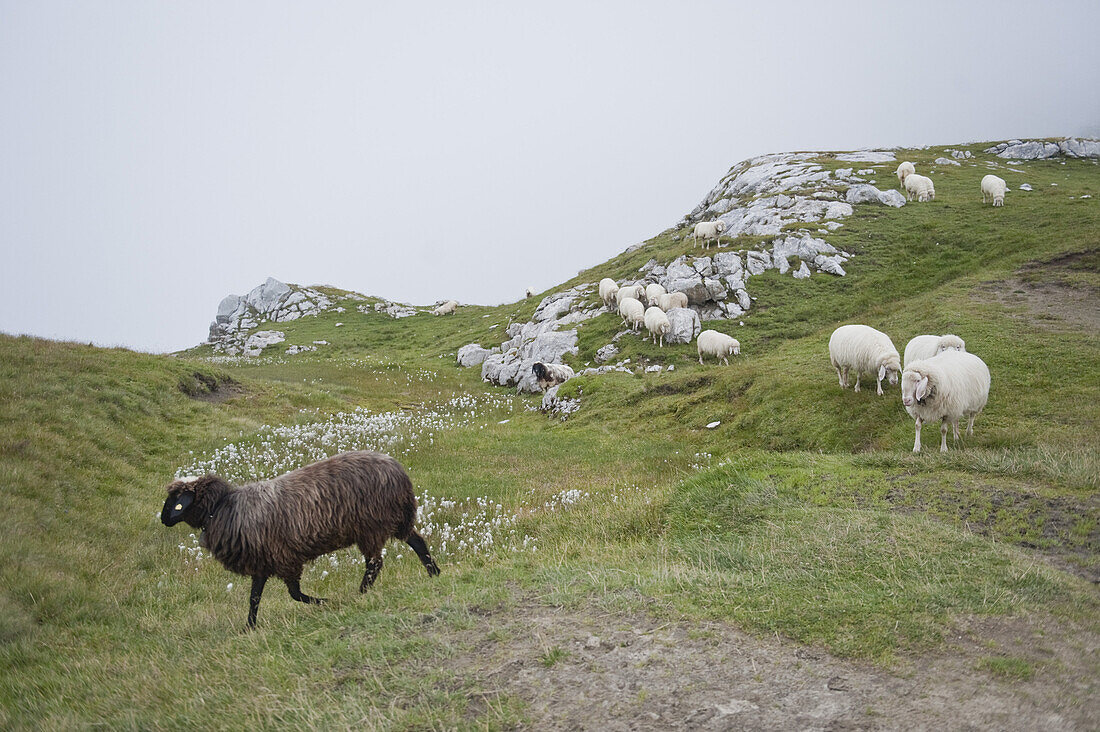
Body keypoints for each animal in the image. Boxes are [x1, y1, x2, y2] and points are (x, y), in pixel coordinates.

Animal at [160, 451, 442, 629]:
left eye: (176, 501)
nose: (163, 519)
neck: (222, 508)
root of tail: (396, 469)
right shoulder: (262, 563)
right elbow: (254, 598)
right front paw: (249, 626)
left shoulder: (285, 559)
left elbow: (295, 594)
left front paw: (325, 602)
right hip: (396, 520)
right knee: (417, 543)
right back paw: (434, 573)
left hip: (371, 526)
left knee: (375, 563)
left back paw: (360, 593)